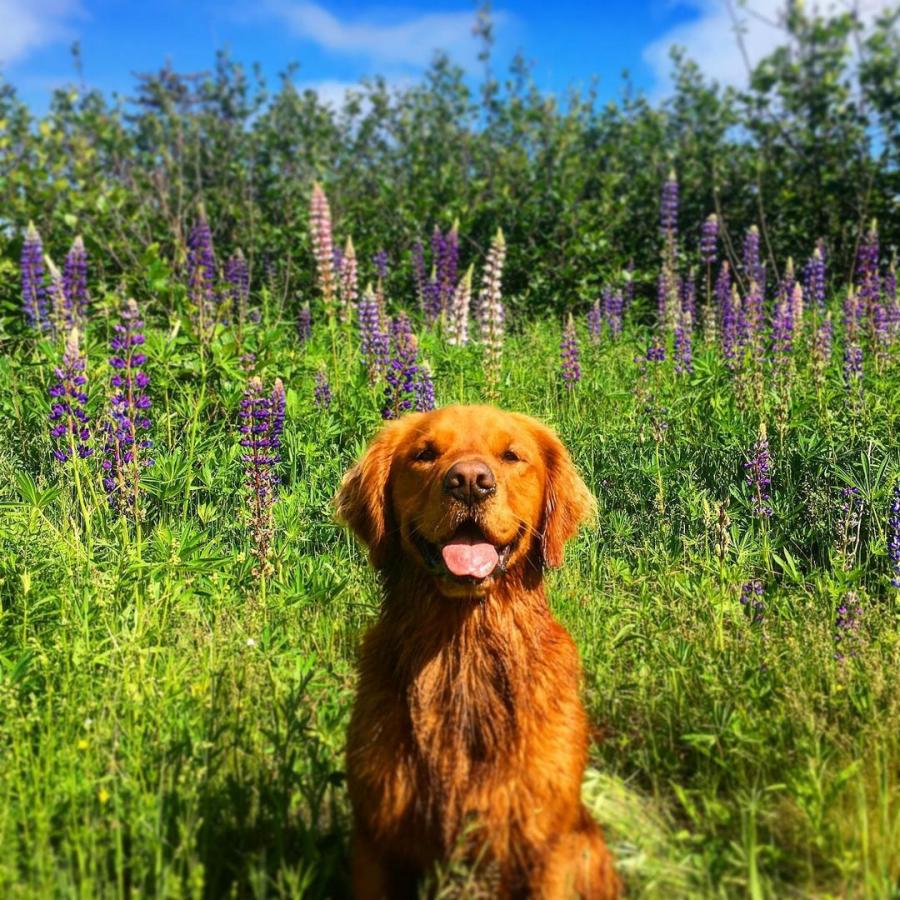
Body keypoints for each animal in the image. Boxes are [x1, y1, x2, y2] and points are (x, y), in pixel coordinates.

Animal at [336, 408, 620, 900]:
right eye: (425, 454)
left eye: (511, 456)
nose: (470, 481)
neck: (463, 650)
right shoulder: (376, 841)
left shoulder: (546, 847)